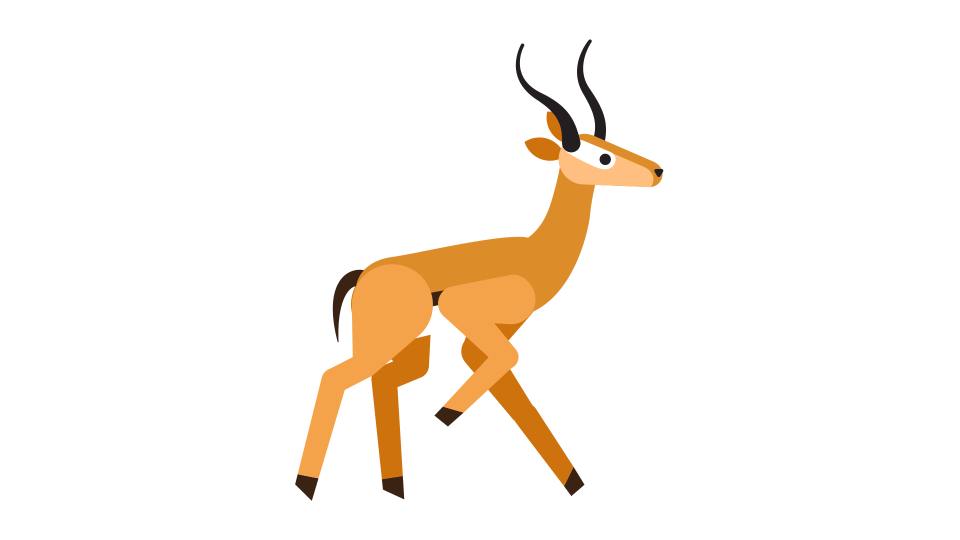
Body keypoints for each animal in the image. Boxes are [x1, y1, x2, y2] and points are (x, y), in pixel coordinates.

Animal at [296, 40, 663, 500]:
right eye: (603, 155)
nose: (657, 171)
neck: (536, 253)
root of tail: (363, 273)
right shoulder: (466, 310)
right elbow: (507, 360)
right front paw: (445, 413)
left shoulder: (498, 332)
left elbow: (504, 377)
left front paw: (573, 481)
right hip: (389, 339)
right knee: (336, 378)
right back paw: (307, 485)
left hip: (404, 341)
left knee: (382, 380)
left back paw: (394, 486)